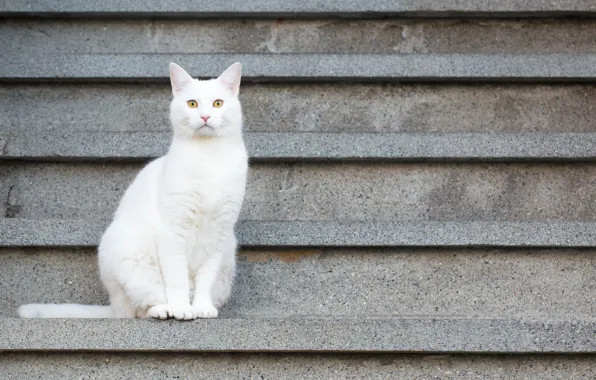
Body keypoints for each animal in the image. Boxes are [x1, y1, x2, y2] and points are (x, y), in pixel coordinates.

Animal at [18, 62, 247, 320]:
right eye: (192, 104)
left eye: (218, 103)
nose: (205, 116)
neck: (210, 158)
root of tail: (113, 307)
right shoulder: (172, 231)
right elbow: (176, 278)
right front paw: (181, 308)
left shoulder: (220, 232)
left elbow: (205, 278)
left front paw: (202, 307)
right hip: (130, 258)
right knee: (142, 307)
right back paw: (164, 309)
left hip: (228, 260)